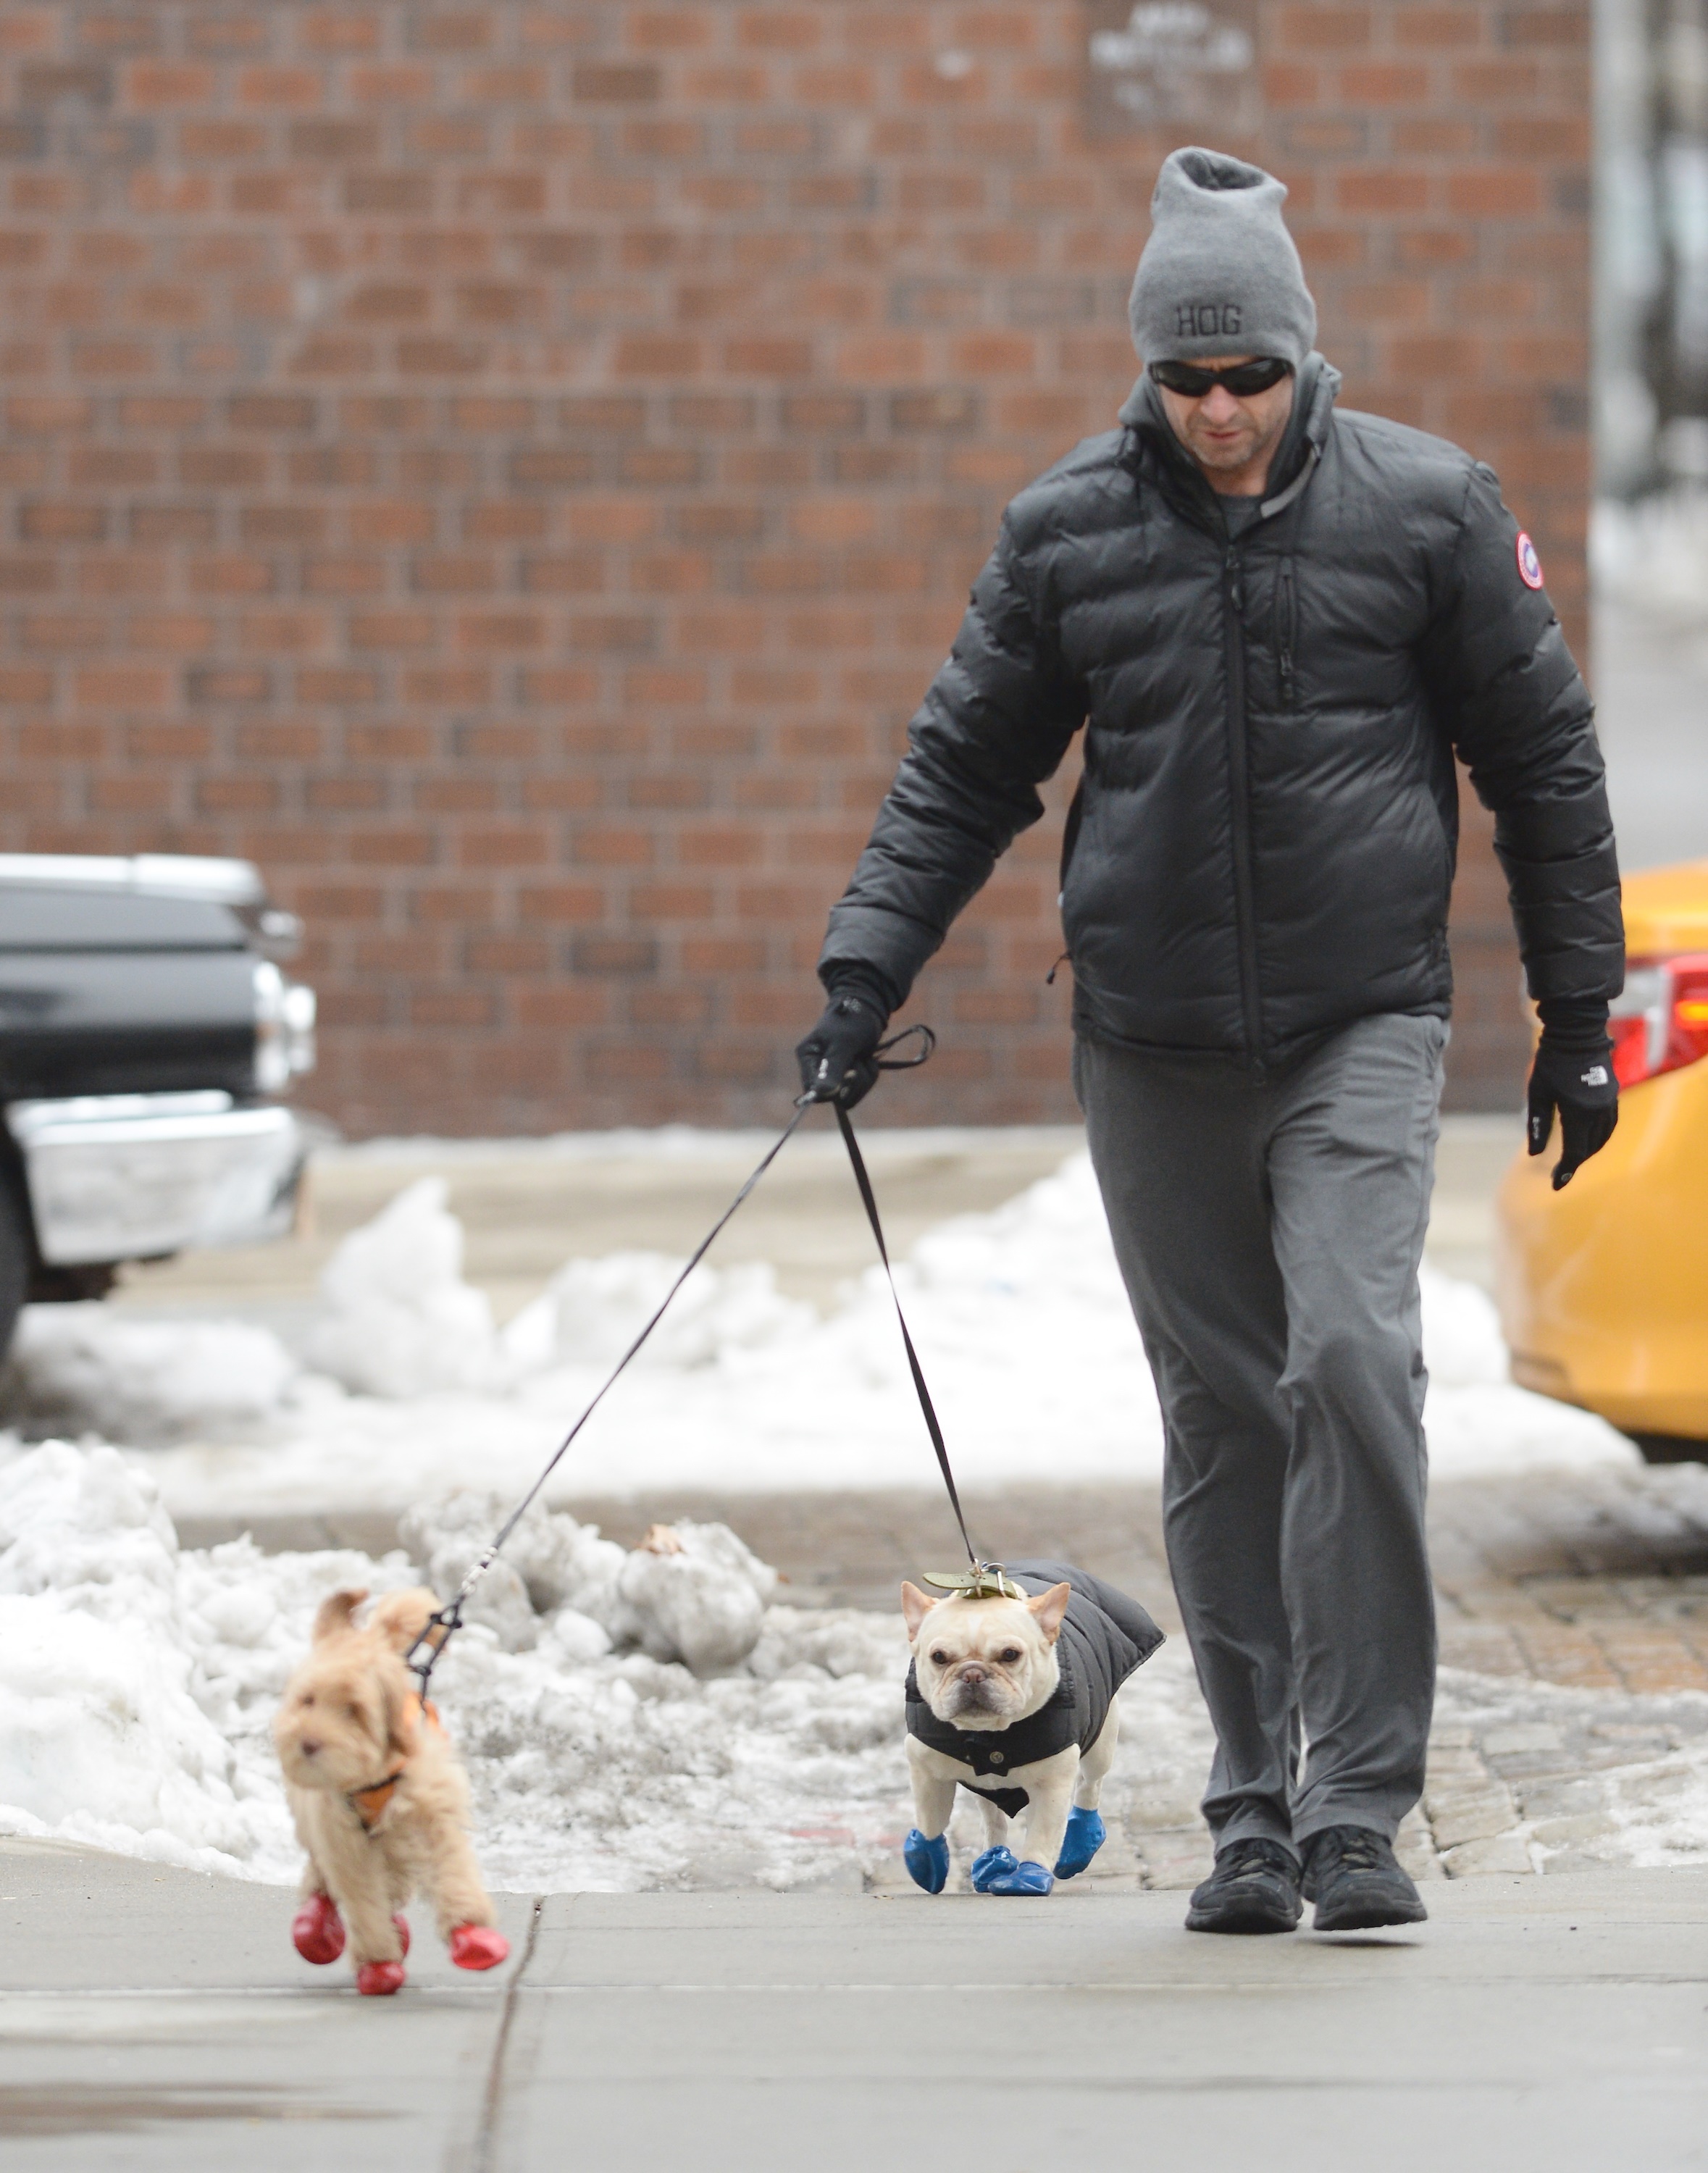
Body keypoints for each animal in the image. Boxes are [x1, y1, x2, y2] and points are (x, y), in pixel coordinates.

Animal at [275, 1591, 506, 1990]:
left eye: (353, 1710)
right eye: (308, 1701)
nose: (307, 1743)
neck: (372, 1778)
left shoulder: (431, 1813)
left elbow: (450, 1869)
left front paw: (471, 1933)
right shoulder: (343, 1838)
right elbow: (364, 1900)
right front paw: (379, 1965)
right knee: (326, 1880)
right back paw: (317, 1926)